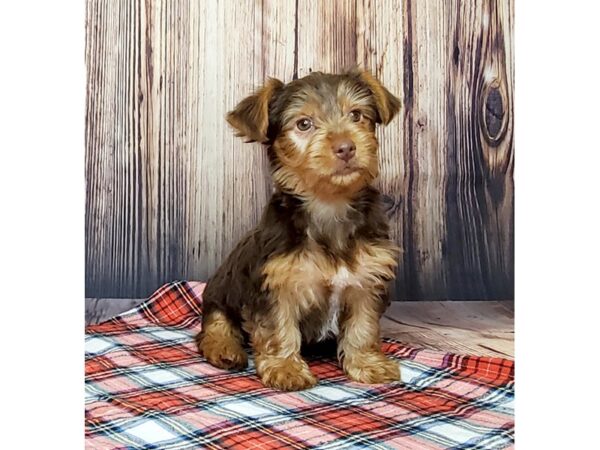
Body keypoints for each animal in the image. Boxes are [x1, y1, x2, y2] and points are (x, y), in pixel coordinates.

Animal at [198, 69, 404, 390]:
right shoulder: (274, 284)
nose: (346, 147)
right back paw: (224, 350)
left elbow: (363, 325)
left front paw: (369, 363)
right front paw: (286, 368)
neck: (329, 204)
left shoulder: (367, 279)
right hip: (221, 292)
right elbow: (277, 328)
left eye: (356, 115)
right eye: (304, 124)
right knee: (216, 323)